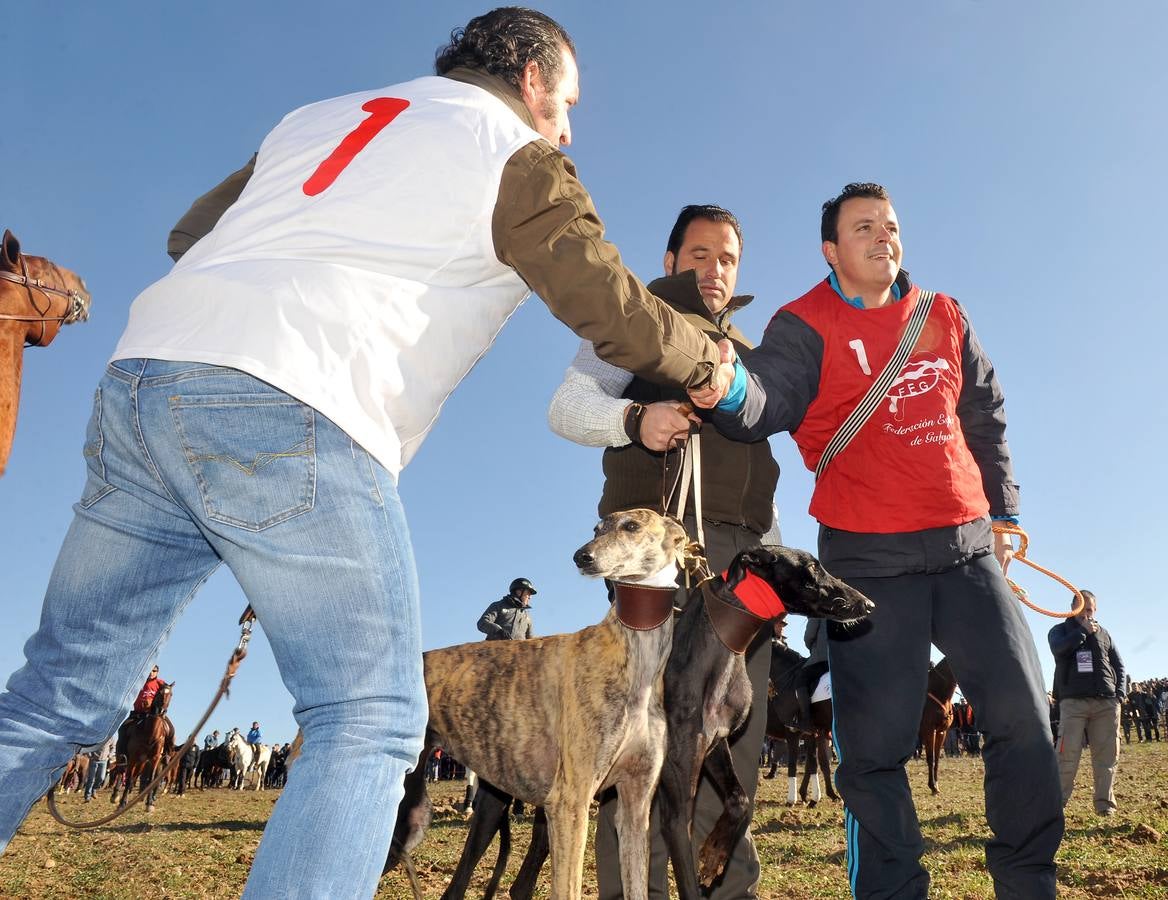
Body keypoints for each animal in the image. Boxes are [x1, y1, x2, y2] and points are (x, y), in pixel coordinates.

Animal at [111, 681, 174, 812]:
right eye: (159, 693)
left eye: (171, 694)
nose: (161, 711)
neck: (150, 732)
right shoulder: (133, 758)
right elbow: (129, 779)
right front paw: (122, 803)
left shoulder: (154, 759)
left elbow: (151, 780)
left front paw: (149, 803)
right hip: (123, 757)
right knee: (120, 771)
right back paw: (115, 796)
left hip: (143, 763)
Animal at [920, 653, 957, 793]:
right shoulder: (929, 731)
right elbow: (931, 758)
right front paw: (932, 786)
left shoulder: (942, 732)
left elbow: (936, 758)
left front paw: (936, 785)